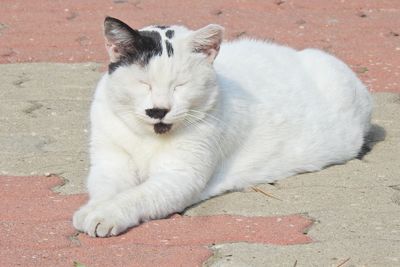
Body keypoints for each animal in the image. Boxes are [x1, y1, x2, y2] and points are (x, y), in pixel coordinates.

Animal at [72, 16, 372, 238]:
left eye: (180, 85)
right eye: (143, 83)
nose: (158, 110)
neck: (147, 138)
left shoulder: (179, 177)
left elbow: (135, 196)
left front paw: (106, 214)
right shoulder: (111, 163)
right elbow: (106, 189)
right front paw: (93, 208)